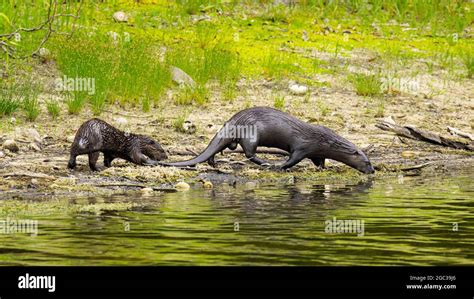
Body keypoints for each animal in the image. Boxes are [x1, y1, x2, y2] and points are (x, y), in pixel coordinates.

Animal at [161, 108, 376, 175]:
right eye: (367, 162)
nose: (373, 170)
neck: (325, 141)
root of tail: (233, 121)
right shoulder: (302, 147)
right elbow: (292, 159)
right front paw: (281, 166)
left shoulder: (317, 152)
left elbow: (320, 161)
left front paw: (323, 168)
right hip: (251, 135)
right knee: (249, 153)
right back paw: (266, 163)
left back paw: (214, 163)